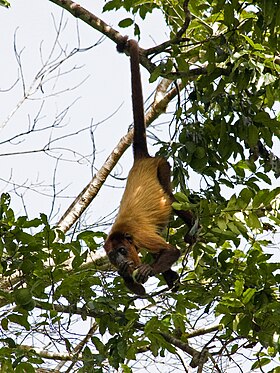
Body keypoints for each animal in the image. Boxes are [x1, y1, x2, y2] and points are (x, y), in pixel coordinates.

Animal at [104, 37, 194, 294]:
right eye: (113, 257)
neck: (122, 233)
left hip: (162, 165)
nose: (121, 262)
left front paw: (147, 270)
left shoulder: (140, 236)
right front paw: (130, 277)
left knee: (171, 197)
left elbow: (171, 250)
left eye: (122, 251)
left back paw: (193, 225)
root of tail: (142, 159)